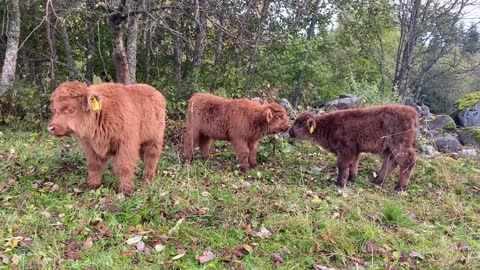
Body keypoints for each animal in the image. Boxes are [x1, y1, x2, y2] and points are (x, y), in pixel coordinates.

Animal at [288, 104, 416, 191]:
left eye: (300, 124)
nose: (290, 131)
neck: (328, 126)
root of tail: (412, 112)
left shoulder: (346, 149)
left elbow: (342, 166)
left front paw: (340, 183)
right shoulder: (355, 150)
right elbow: (353, 164)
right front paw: (352, 178)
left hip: (400, 145)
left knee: (408, 161)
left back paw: (400, 187)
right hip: (388, 149)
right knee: (390, 162)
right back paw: (376, 181)